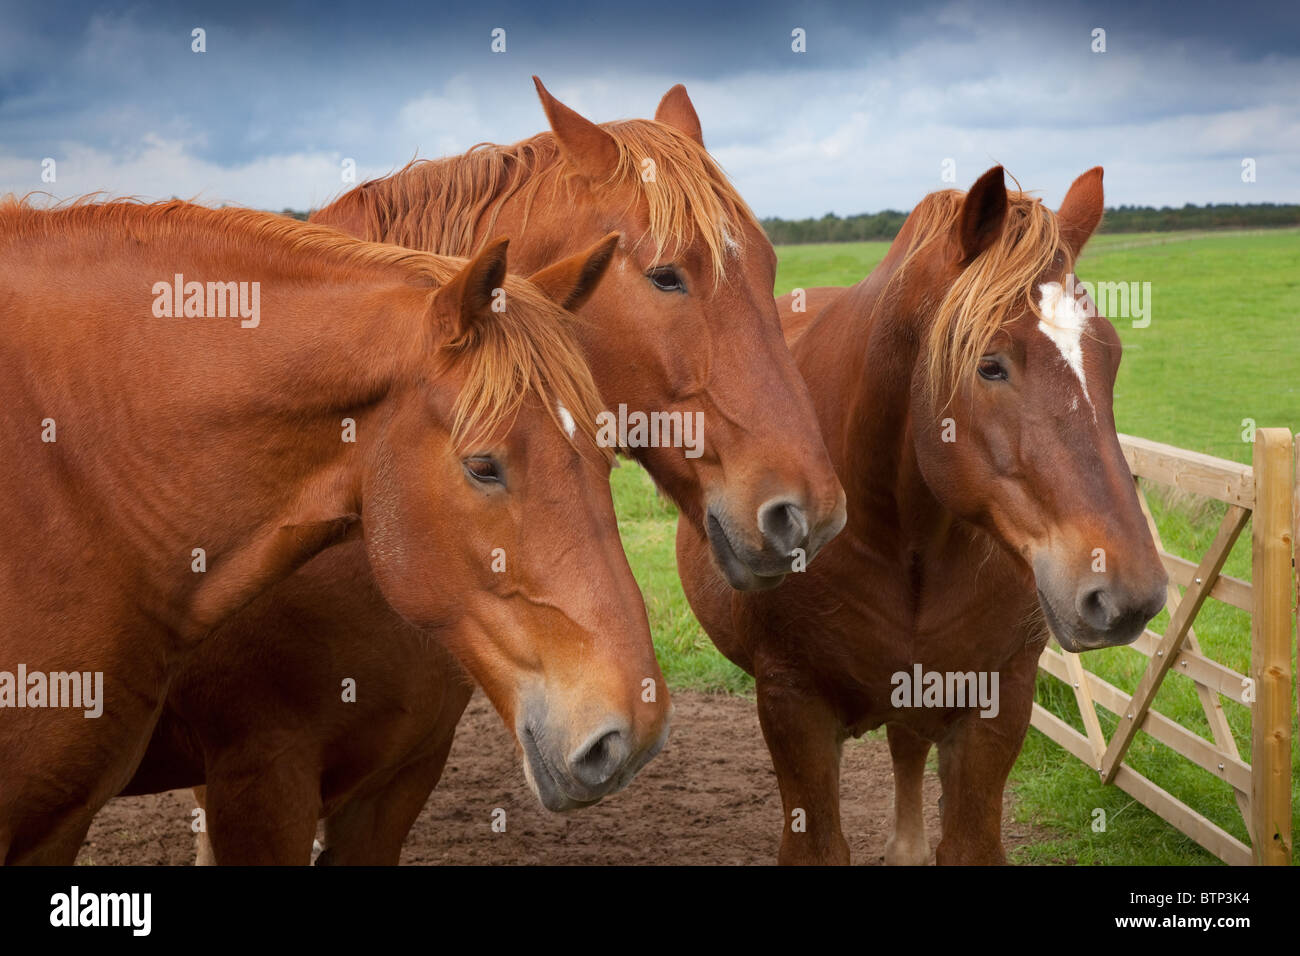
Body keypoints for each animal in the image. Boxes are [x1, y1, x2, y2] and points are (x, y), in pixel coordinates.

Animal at [681, 166, 1170, 868]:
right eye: (989, 364)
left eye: (1112, 356)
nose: (1130, 595)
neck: (902, 539)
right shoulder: (791, 706)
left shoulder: (996, 704)